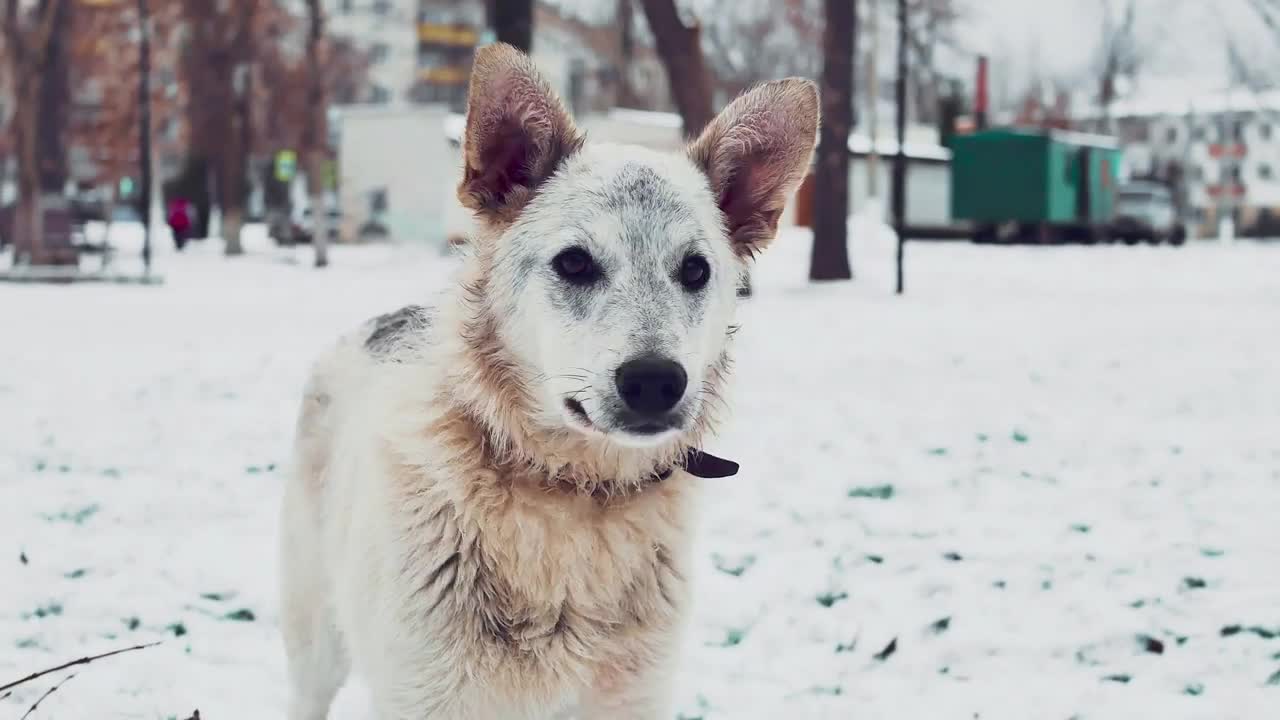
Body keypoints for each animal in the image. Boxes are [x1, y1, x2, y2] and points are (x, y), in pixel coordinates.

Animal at [280, 44, 819, 717]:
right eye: (575, 263)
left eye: (695, 271)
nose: (654, 382)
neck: (572, 500)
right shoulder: (425, 697)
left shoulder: (632, 700)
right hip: (315, 643)